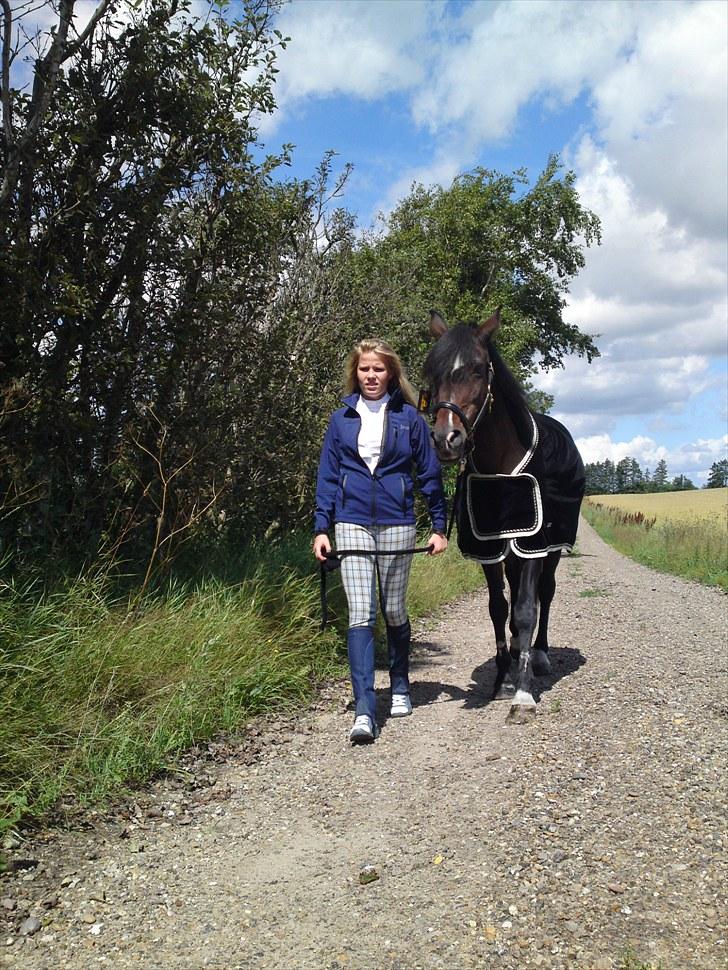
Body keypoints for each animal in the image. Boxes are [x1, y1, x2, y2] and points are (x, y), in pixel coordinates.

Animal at [422, 309, 585, 724]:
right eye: (433, 371)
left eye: (479, 369)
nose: (446, 440)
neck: (500, 464)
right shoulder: (489, 549)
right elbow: (499, 609)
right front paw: (502, 679)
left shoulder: (532, 544)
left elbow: (526, 611)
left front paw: (523, 695)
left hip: (552, 546)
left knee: (546, 594)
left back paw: (538, 655)